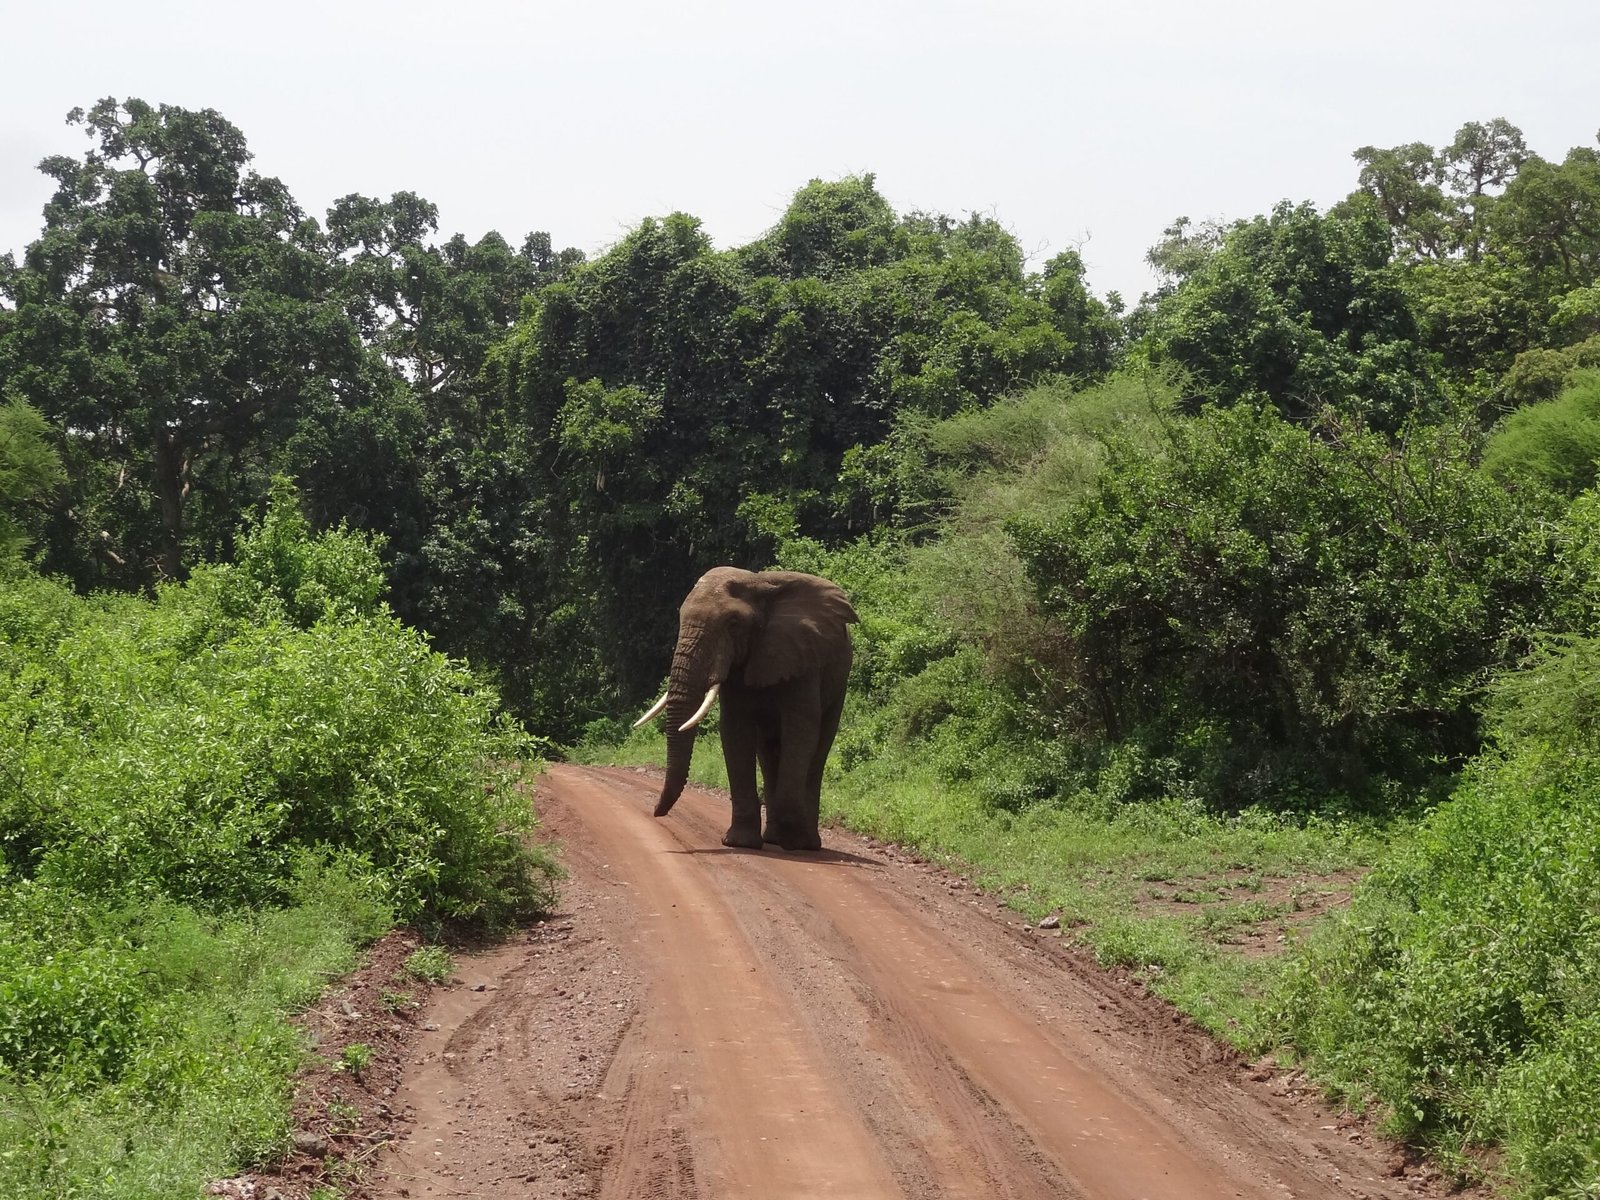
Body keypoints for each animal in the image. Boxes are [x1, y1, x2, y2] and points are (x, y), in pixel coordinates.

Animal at [633, 566, 857, 851]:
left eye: (733, 624)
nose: (655, 812)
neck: (758, 583)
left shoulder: (802, 658)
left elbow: (801, 730)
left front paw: (793, 842)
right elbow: (735, 731)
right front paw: (740, 843)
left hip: (839, 683)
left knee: (818, 750)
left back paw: (806, 844)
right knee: (768, 752)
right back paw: (773, 838)